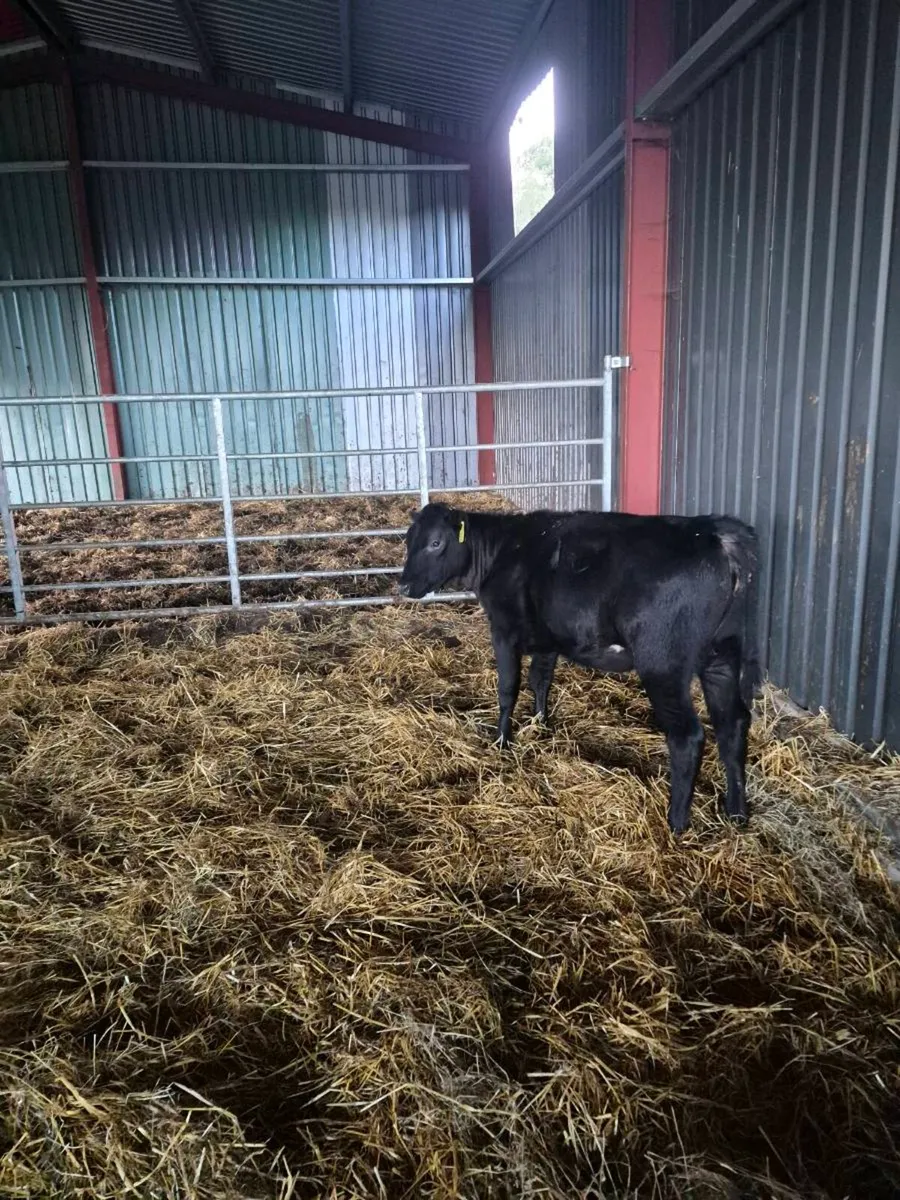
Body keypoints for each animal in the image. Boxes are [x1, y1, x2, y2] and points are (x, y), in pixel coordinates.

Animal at [398, 503, 761, 833]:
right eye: (409, 540)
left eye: (435, 543)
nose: (403, 586)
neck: (504, 551)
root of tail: (716, 533)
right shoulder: (549, 638)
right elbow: (540, 679)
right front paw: (540, 724)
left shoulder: (503, 629)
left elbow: (508, 687)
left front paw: (502, 741)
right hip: (723, 655)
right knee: (733, 724)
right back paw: (736, 813)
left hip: (662, 663)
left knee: (688, 736)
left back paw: (676, 823)